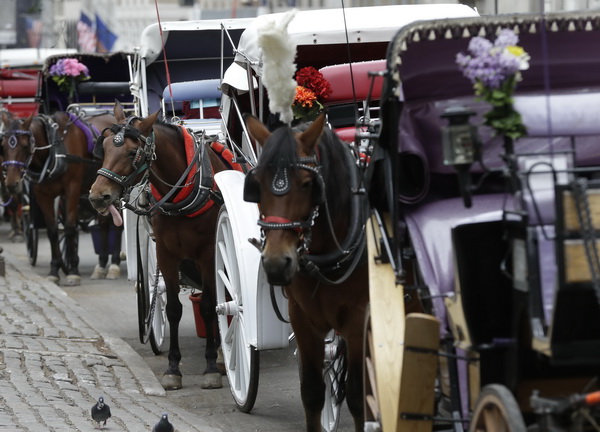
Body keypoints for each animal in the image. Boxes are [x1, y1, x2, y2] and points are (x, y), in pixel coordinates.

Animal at [0, 109, 117, 284]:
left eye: (25, 145)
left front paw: (73, 270)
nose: (11, 183)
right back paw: (102, 263)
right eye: (2, 146)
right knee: (104, 223)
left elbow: (69, 228)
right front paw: (55, 269)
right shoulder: (42, 195)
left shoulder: (72, 190)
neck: (54, 150)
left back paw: (114, 264)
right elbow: (53, 231)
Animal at [88, 102, 230, 392]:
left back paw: (222, 356)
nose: (98, 196)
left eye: (132, 152)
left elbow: (210, 306)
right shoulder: (166, 254)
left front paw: (211, 367)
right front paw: (173, 369)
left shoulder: (209, 254)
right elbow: (173, 309)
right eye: (104, 147)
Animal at [244, 112, 370, 432]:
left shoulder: (359, 320)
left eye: (306, 183)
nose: (276, 263)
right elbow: (312, 393)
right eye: (257, 184)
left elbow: (357, 398)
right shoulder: (303, 318)